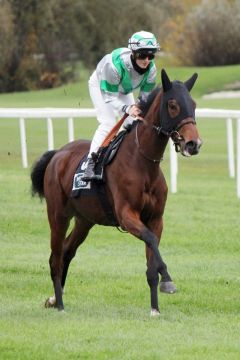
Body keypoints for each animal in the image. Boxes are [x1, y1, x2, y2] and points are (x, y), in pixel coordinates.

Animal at [30, 68, 202, 316]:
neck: (143, 162)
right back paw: (60, 304)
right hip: (57, 215)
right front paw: (168, 281)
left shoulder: (155, 218)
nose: (193, 144)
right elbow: (151, 240)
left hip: (85, 220)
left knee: (67, 251)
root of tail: (57, 154)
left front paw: (155, 308)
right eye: (172, 105)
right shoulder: (126, 215)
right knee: (55, 257)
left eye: (194, 104)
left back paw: (54, 299)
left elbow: (152, 257)